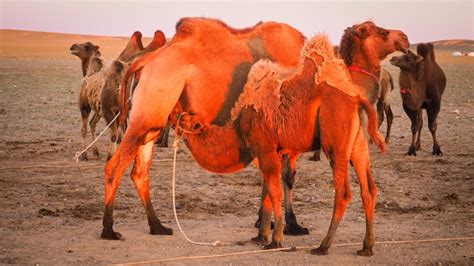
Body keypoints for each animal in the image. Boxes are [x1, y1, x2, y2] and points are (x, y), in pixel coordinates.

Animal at [102, 17, 306, 240]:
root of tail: (145, 60)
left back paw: (157, 226)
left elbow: (272, 175)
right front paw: (292, 225)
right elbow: (286, 176)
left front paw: (264, 222)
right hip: (145, 117)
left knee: (139, 172)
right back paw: (109, 229)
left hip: (151, 124)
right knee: (115, 166)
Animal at [177, 34, 386, 254]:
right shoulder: (272, 151)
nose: (178, 118)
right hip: (358, 144)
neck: (240, 124)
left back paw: (323, 245)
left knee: (343, 192)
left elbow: (274, 191)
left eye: (189, 120)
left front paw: (275, 240)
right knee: (369, 189)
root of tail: (357, 99)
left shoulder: (265, 149)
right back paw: (367, 246)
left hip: (336, 143)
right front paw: (261, 236)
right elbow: (268, 190)